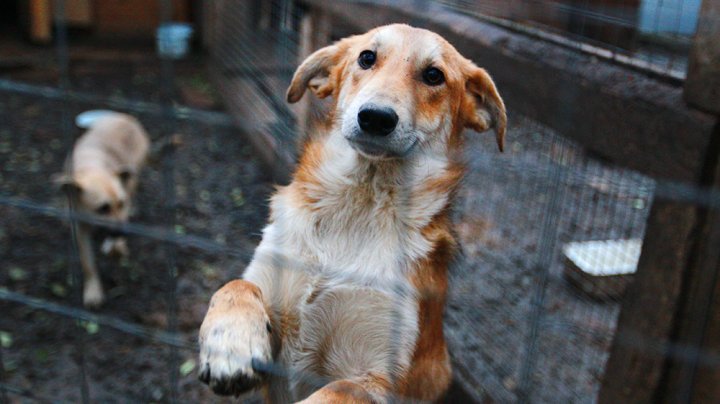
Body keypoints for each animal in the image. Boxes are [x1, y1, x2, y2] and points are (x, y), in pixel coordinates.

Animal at [54, 110, 149, 306]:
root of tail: (127, 118)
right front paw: (93, 291)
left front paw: (116, 246)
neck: (92, 167)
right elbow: (87, 263)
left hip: (133, 178)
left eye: (120, 203)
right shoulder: (80, 227)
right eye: (102, 208)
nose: (125, 233)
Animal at [194, 23, 504, 402]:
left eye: (434, 75)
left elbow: (337, 390)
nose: (376, 117)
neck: (358, 207)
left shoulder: (376, 377)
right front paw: (230, 344)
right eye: (366, 57)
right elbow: (236, 285)